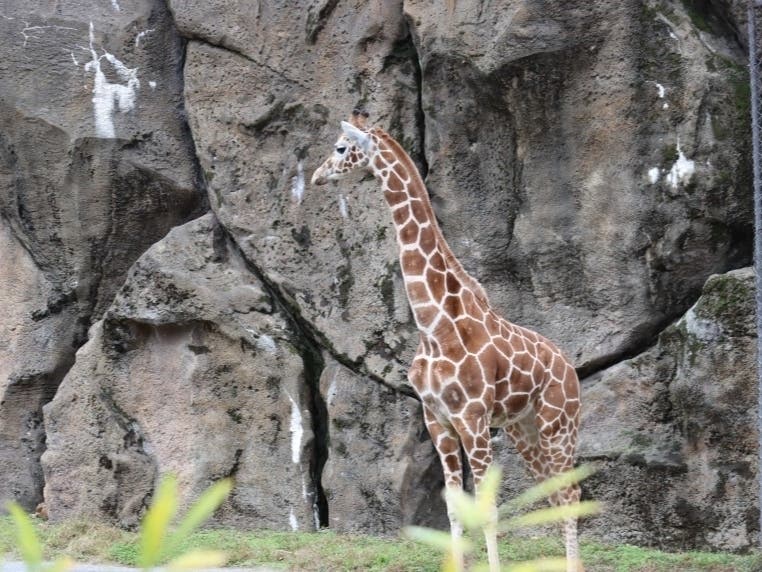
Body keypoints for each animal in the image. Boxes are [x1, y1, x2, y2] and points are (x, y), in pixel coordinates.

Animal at [311, 110, 582, 572]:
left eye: (341, 147)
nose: (315, 176)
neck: (434, 325)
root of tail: (571, 368)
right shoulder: (438, 420)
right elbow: (455, 510)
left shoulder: (472, 419)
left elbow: (487, 511)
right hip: (524, 430)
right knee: (558, 496)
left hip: (559, 426)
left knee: (572, 495)